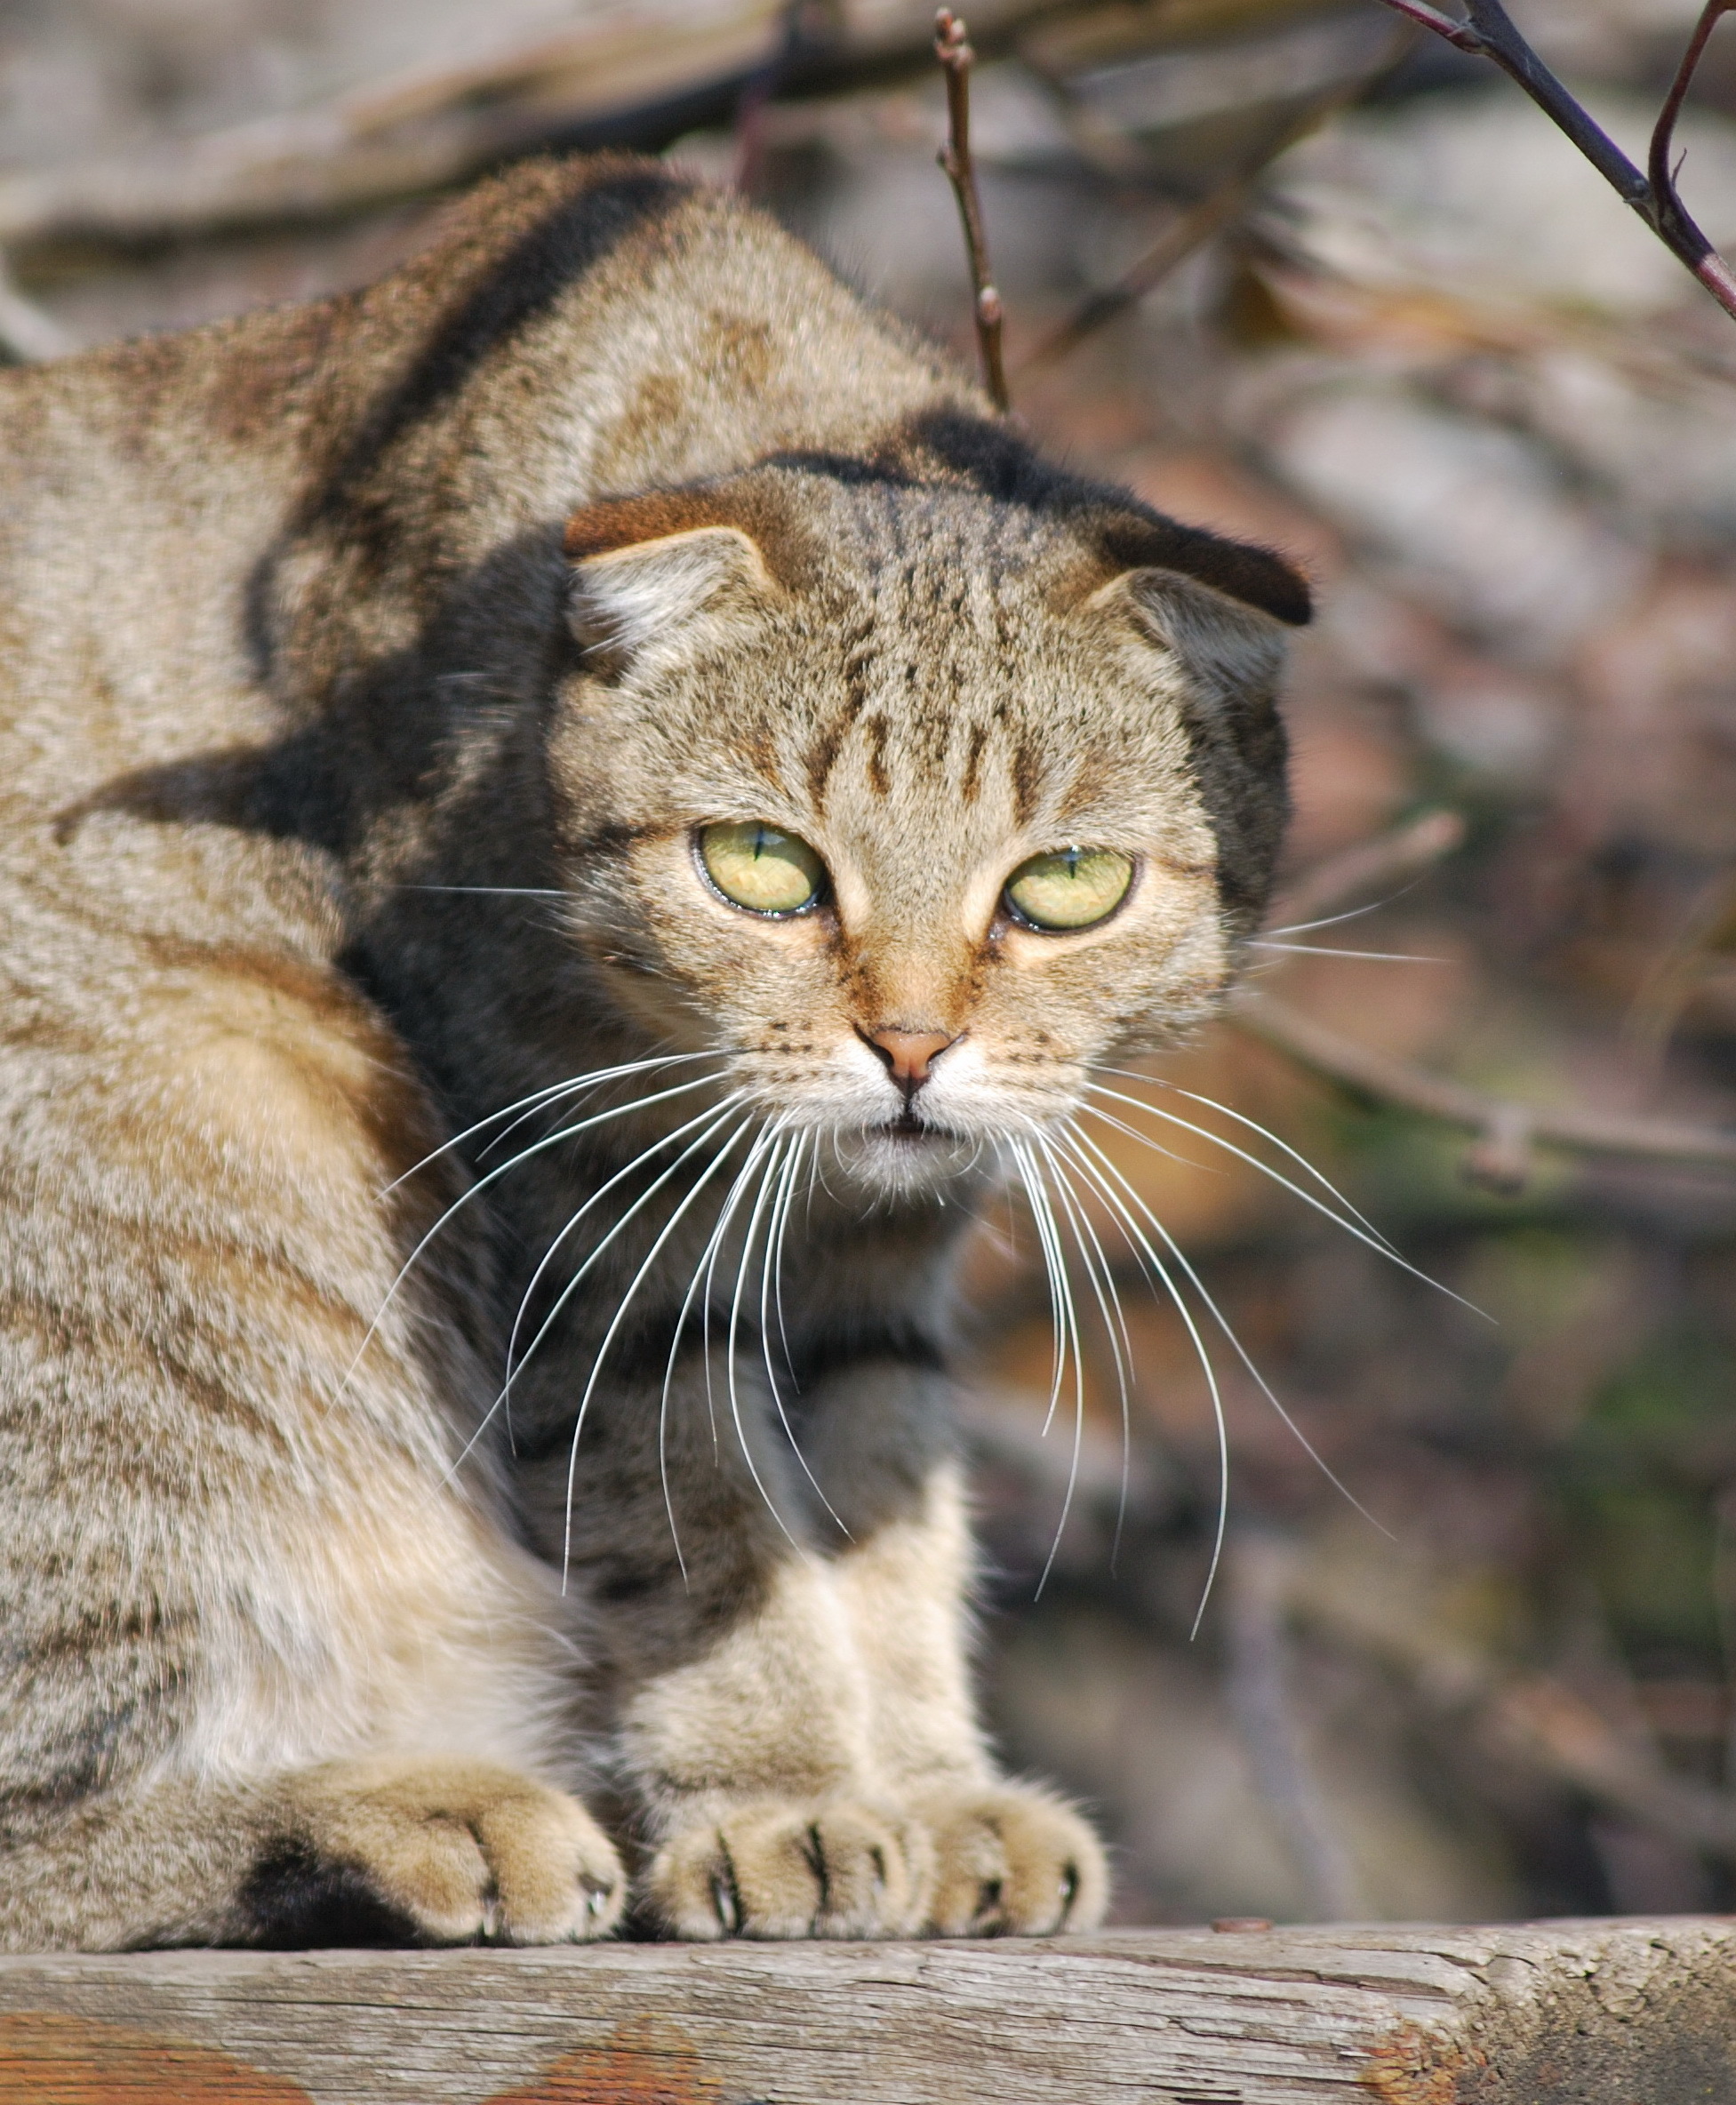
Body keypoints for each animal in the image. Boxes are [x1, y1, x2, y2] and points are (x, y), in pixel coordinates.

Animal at [0, 156, 1296, 1945]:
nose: (908, 1044)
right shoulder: (589, 1217)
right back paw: (405, 1815)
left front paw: (930, 1791)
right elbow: (702, 1516)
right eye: (759, 863)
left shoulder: (875, 1259)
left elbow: (881, 1509)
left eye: (1064, 885)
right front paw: (782, 1799)